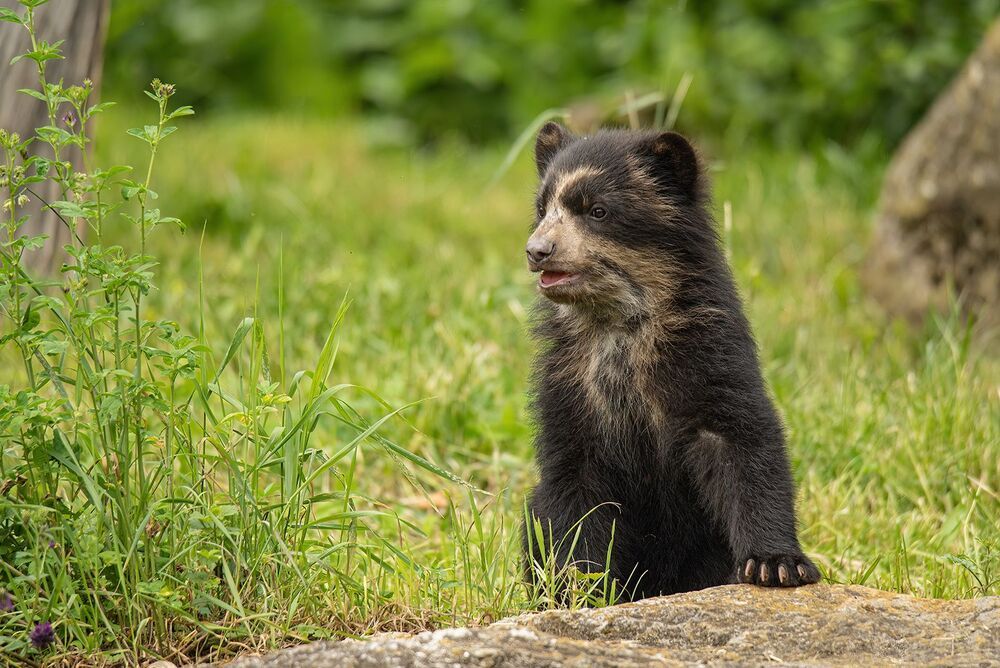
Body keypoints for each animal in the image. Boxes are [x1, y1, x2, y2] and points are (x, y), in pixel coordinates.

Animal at [522, 122, 820, 602]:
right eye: (542, 210)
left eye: (597, 211)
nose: (537, 251)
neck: (620, 326)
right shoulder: (569, 381)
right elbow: (571, 484)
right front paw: (579, 586)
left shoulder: (708, 351)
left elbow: (741, 437)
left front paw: (775, 565)